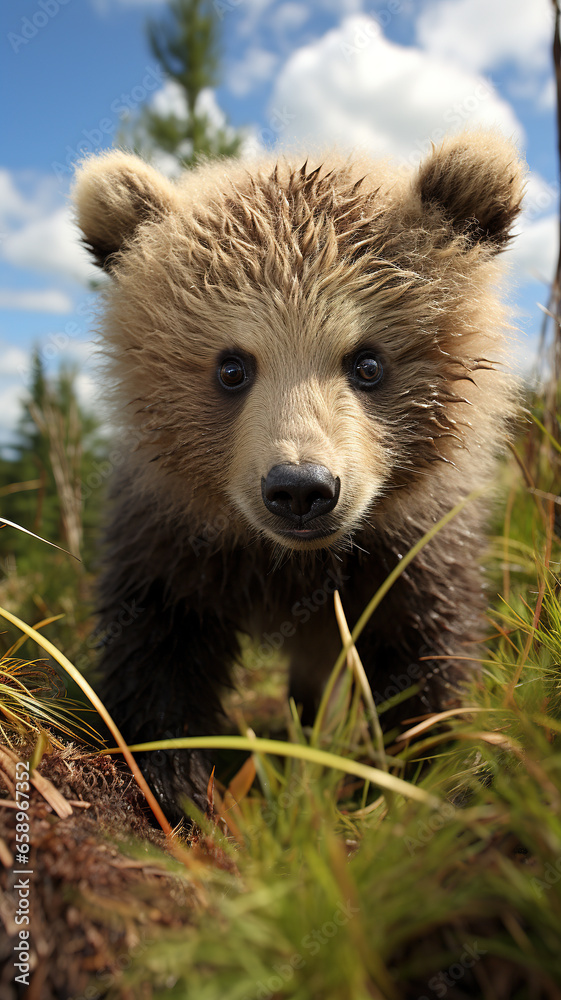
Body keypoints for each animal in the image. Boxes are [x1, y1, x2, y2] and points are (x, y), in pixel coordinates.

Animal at [73, 132, 524, 820]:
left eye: (368, 362)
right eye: (232, 367)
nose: (302, 489)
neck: (291, 567)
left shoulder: (414, 545)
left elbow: (426, 650)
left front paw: (426, 769)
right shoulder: (171, 536)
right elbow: (156, 646)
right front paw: (179, 781)